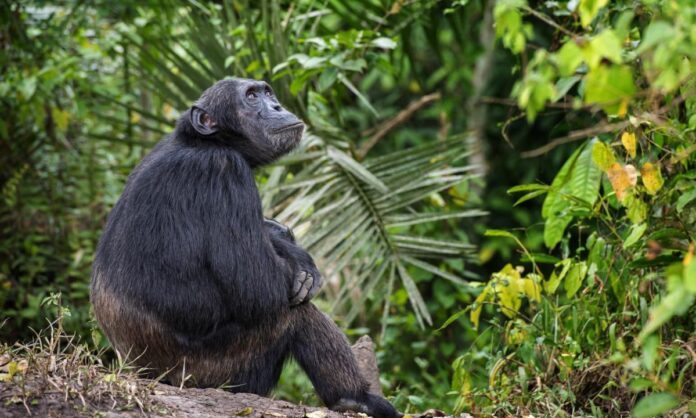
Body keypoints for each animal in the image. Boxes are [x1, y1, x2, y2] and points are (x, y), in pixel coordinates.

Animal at [89, 76, 400, 416]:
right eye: (251, 97)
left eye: (267, 92)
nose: (276, 106)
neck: (210, 143)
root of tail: (141, 373)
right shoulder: (224, 171)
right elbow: (258, 285)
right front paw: (296, 259)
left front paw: (284, 239)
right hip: (217, 372)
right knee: (294, 313)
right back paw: (354, 397)